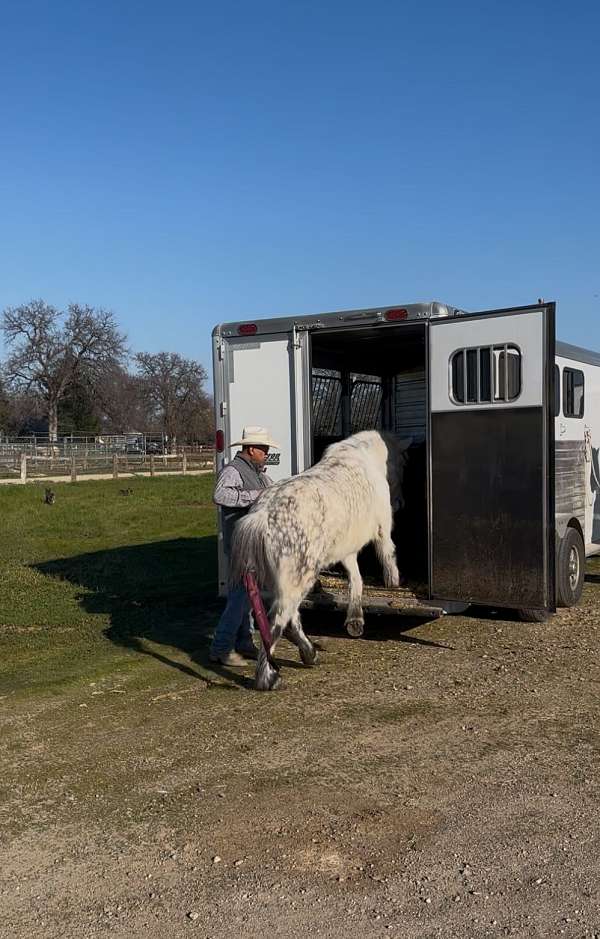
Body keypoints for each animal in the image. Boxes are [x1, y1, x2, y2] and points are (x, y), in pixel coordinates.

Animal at [231, 432, 412, 692]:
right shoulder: (382, 531)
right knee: (279, 620)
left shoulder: (347, 549)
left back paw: (309, 654)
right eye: (405, 461)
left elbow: (355, 579)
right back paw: (268, 677)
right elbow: (389, 557)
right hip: (298, 579)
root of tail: (263, 515)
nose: (400, 503)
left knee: (288, 618)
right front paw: (394, 583)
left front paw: (355, 619)